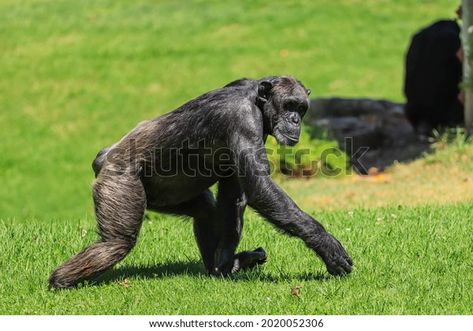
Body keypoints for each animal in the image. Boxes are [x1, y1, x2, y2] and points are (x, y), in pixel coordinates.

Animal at [48, 76, 350, 290]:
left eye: (301, 108)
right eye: (288, 105)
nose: (295, 119)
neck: (256, 100)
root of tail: (103, 157)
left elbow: (233, 194)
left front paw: (227, 264)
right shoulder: (242, 120)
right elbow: (259, 187)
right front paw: (328, 248)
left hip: (162, 194)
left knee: (205, 210)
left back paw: (218, 267)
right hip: (119, 182)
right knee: (117, 242)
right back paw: (59, 282)